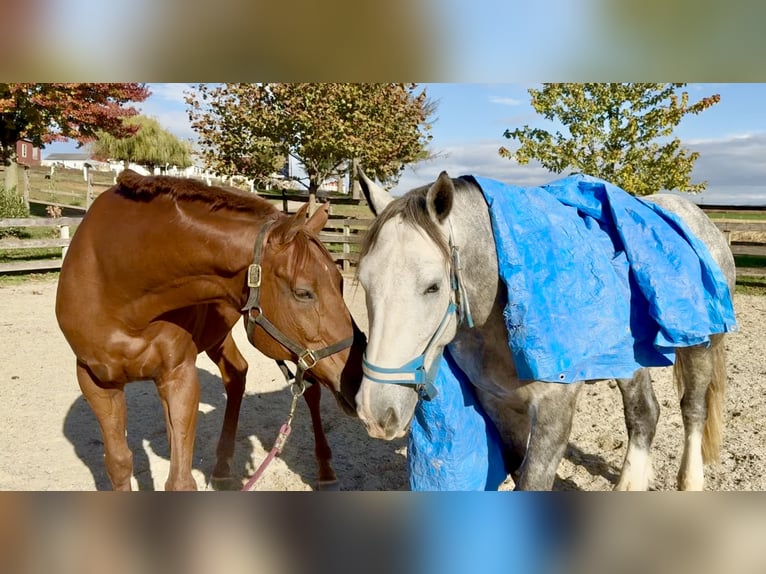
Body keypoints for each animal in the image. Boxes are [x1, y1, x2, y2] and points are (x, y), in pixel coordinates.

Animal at [56, 170, 366, 491]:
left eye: (340, 283)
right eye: (303, 293)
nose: (358, 380)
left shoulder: (179, 376)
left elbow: (179, 481)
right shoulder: (96, 382)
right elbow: (119, 464)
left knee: (309, 391)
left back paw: (325, 470)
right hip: (219, 337)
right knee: (237, 374)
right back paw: (222, 466)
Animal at [354, 169, 736, 491]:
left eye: (432, 287)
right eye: (364, 281)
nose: (375, 412)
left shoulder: (554, 410)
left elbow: (533, 481)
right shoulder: (499, 405)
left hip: (700, 346)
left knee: (692, 410)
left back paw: (690, 482)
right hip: (630, 360)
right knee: (644, 414)